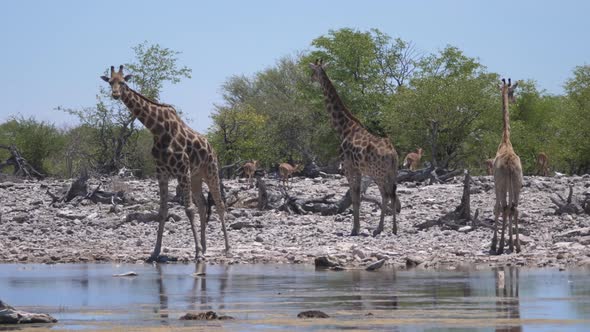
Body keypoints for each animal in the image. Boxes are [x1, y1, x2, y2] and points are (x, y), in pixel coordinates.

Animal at [100, 65, 230, 262]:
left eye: (122, 82)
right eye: (110, 82)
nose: (115, 94)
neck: (157, 130)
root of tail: (213, 149)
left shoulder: (182, 170)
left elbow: (188, 209)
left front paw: (197, 253)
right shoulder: (161, 172)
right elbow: (162, 211)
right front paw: (155, 252)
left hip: (211, 172)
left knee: (220, 204)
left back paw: (226, 248)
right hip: (196, 177)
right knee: (203, 205)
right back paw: (205, 246)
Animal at [310, 59, 402, 236]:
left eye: (313, 71)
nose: (311, 79)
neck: (344, 129)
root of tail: (393, 155)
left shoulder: (348, 167)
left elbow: (354, 197)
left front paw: (355, 229)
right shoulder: (358, 170)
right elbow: (358, 197)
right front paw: (357, 227)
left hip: (378, 173)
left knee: (386, 195)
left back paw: (379, 228)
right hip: (392, 173)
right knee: (392, 194)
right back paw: (393, 229)